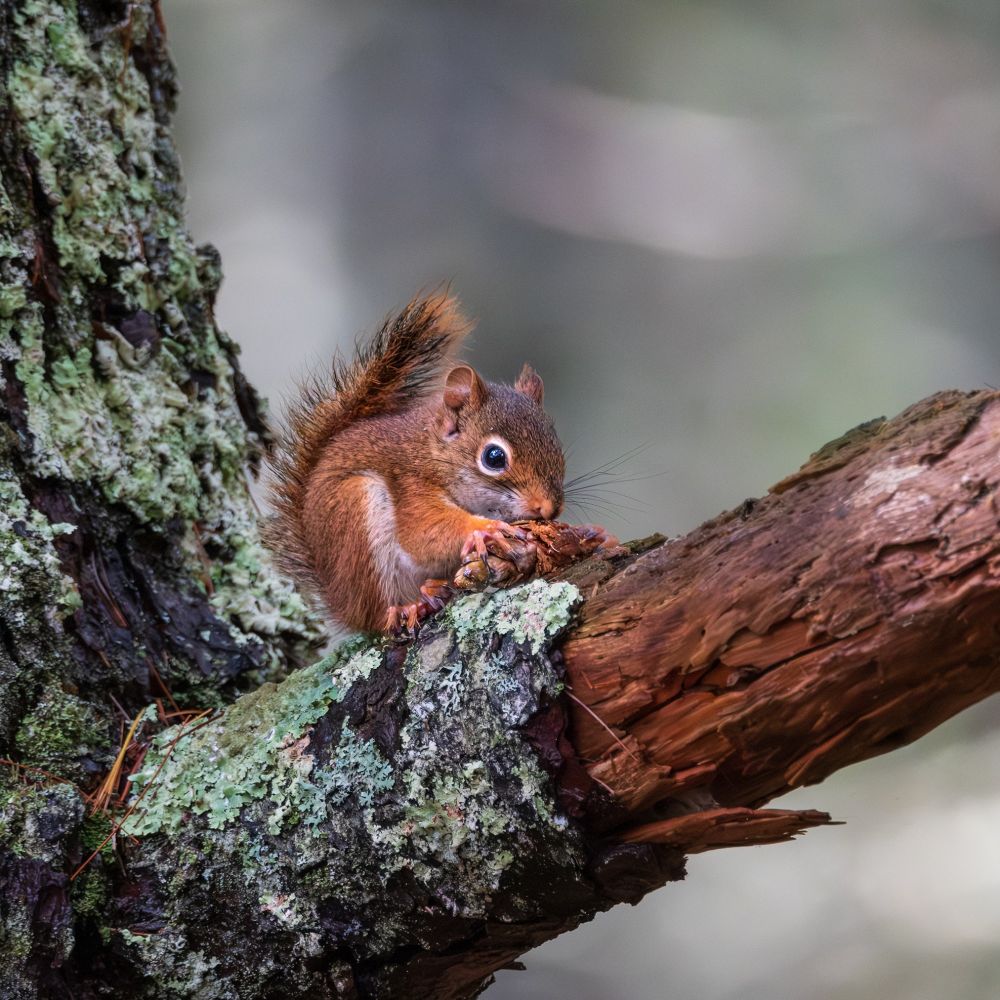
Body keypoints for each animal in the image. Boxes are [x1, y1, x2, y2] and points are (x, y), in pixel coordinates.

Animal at [263, 292, 571, 634]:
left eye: (556, 443)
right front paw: (484, 529)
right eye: (494, 457)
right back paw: (407, 607)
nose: (549, 509)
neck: (432, 454)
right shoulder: (411, 485)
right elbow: (424, 534)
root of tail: (339, 602)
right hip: (355, 516)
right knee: (377, 615)